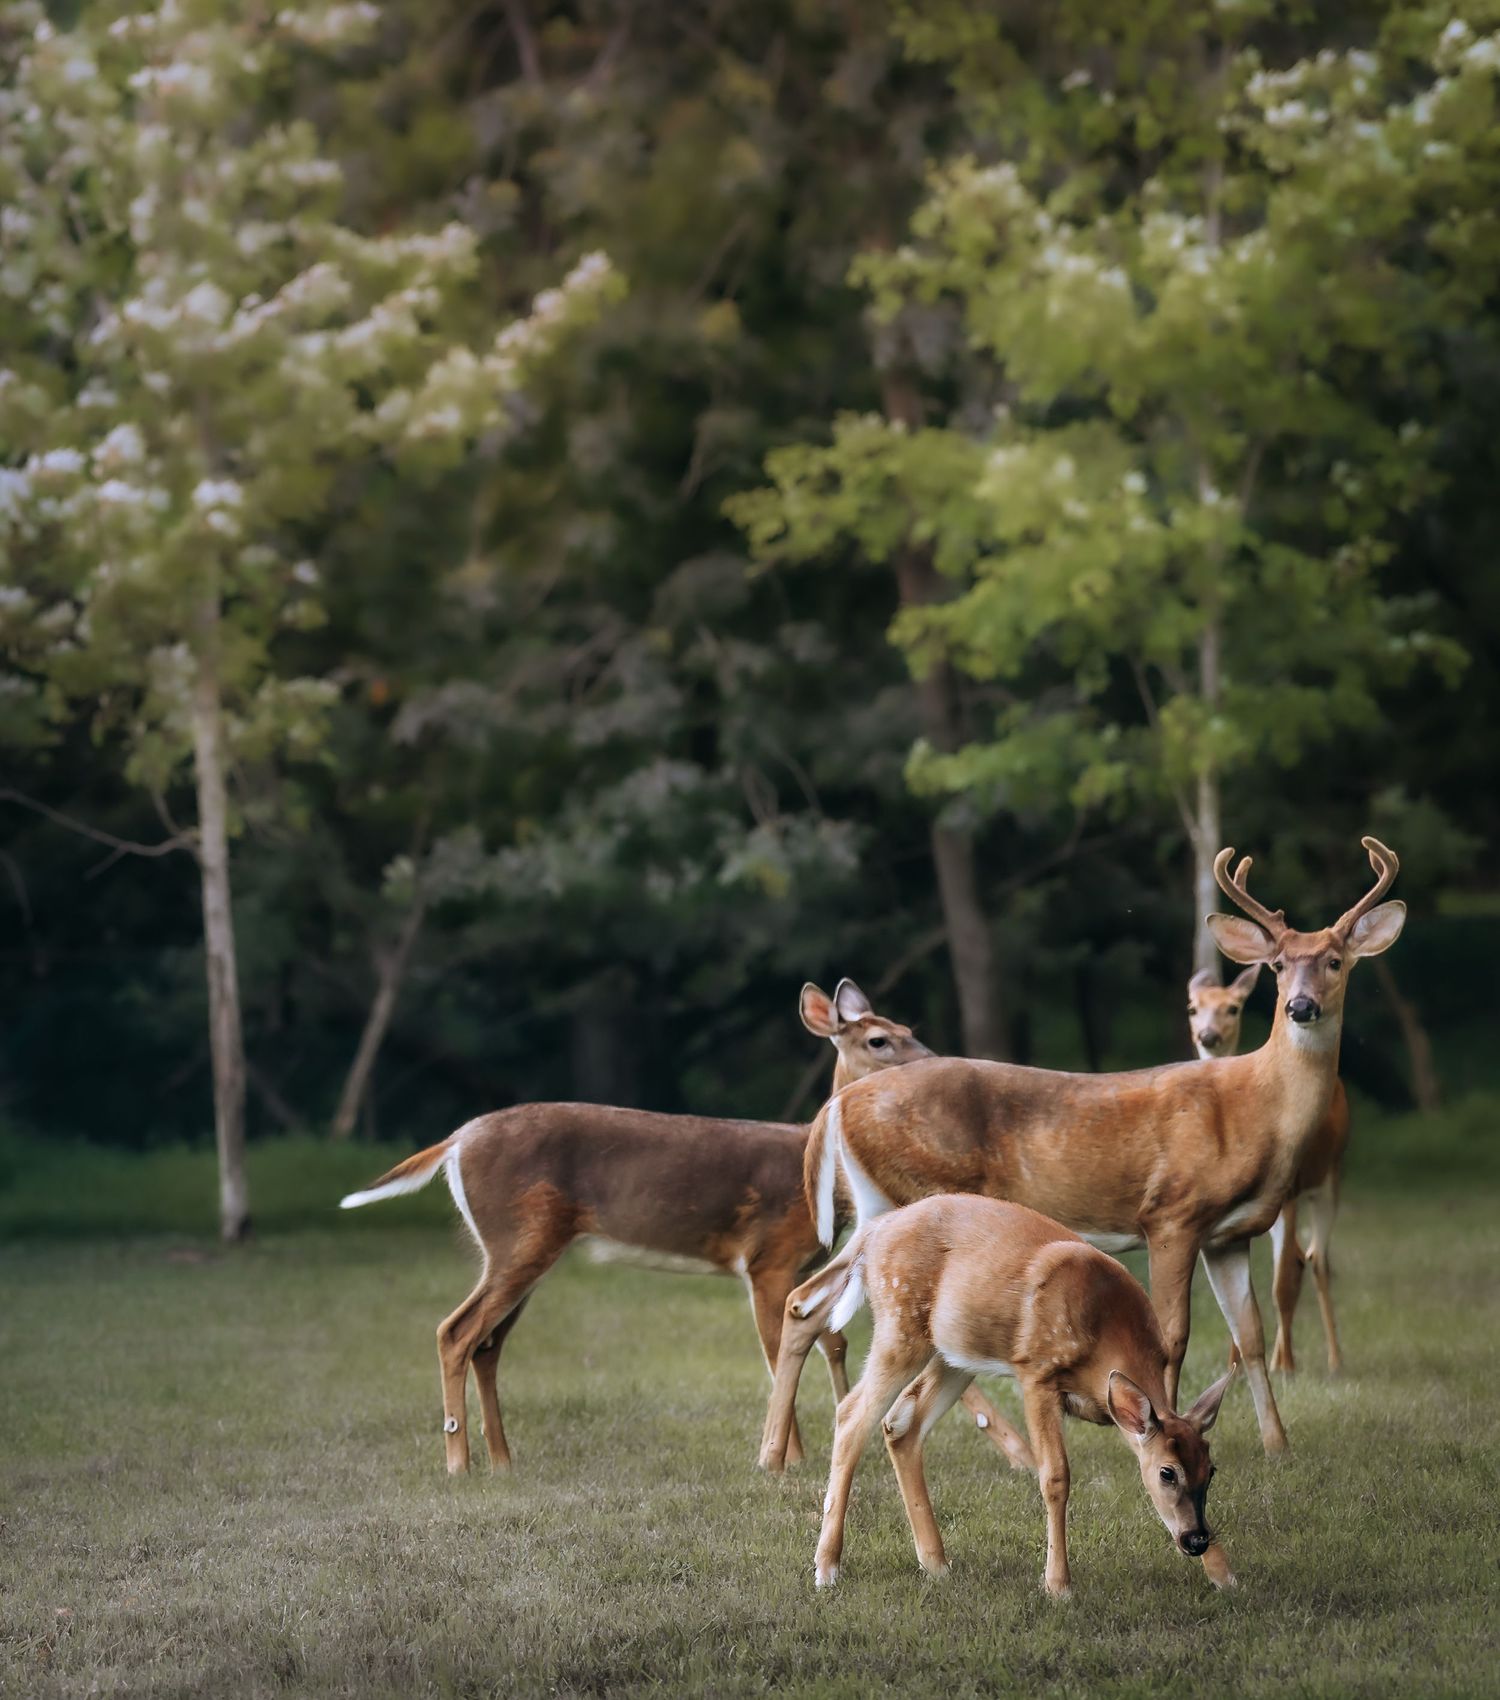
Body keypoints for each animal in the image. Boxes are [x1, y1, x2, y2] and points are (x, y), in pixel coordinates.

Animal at [339, 978, 1035, 1475]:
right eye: (878, 1042)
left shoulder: (810, 1263)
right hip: (517, 1239)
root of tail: (455, 1140)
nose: (937, 1062)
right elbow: (781, 1348)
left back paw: (503, 1463)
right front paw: (789, 1458)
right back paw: (459, 1464)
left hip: (524, 1247)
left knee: (487, 1343)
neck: (814, 1176)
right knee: (456, 1332)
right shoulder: (766, 1257)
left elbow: (833, 1343)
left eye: (907, 1029)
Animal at [764, 1194, 1236, 1595]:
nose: (1195, 1539)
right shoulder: (1037, 1372)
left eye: (1211, 1470)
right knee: (851, 1414)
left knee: (901, 1423)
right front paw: (1058, 1584)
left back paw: (936, 1563)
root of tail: (872, 1232)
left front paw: (1224, 1575)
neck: (1105, 1332)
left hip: (954, 1354)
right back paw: (827, 1567)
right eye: (1167, 1473)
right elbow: (1055, 1476)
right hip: (901, 1327)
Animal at [1187, 966, 1350, 1375]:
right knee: (1301, 1258)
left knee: (1315, 1260)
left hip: (1328, 1179)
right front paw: (1234, 1366)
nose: (1207, 1036)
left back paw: (1331, 1360)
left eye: (1233, 1008)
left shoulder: (1288, 1193)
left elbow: (1280, 1284)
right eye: (1193, 1008)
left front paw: (1286, 1367)